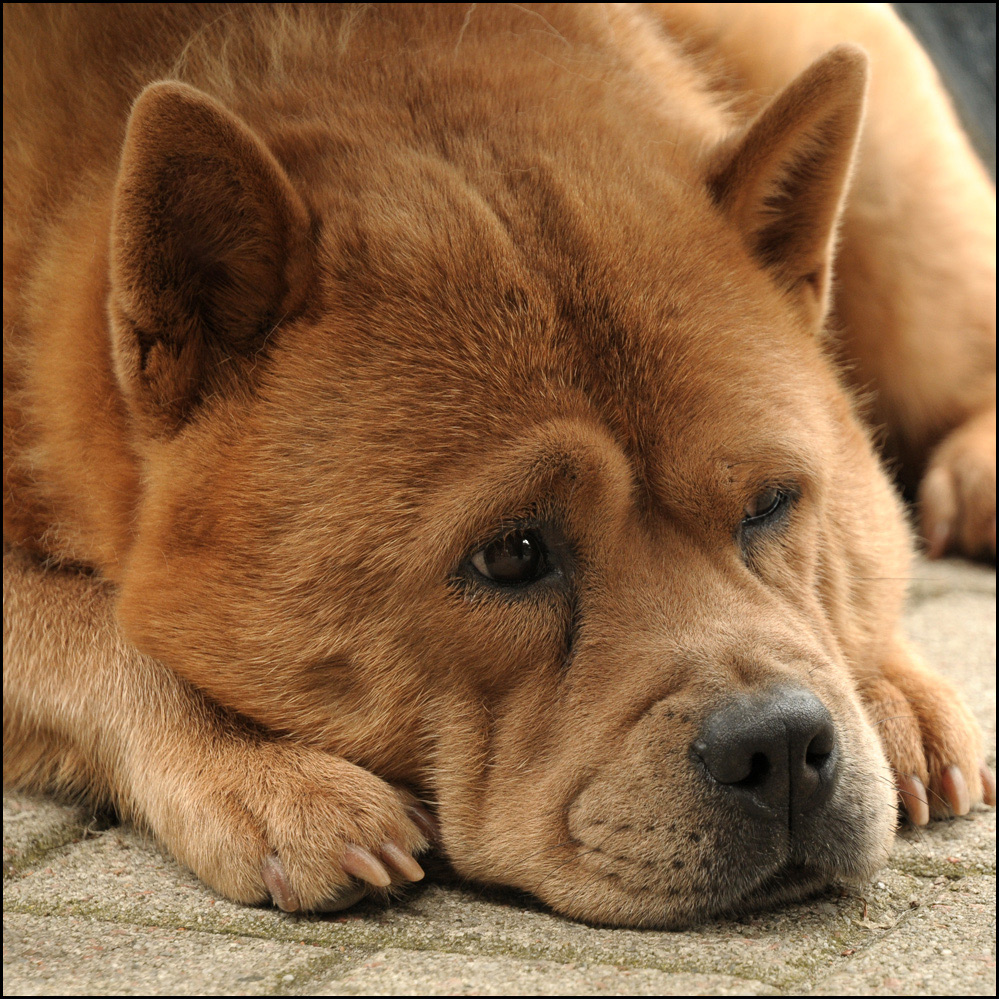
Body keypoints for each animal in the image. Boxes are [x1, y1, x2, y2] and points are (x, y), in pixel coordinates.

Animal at [3, 5, 996, 928]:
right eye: (511, 555)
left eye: (770, 504)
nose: (781, 745)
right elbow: (102, 629)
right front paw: (266, 770)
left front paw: (887, 681)